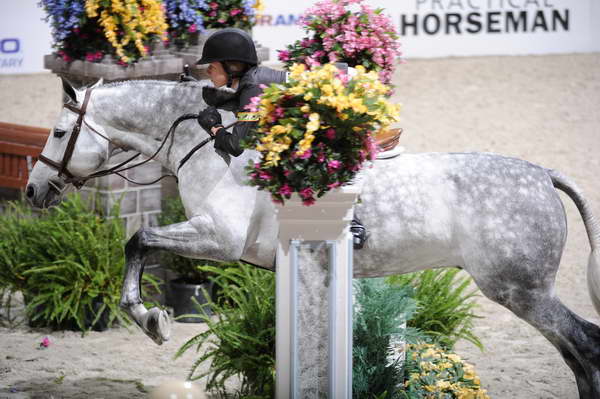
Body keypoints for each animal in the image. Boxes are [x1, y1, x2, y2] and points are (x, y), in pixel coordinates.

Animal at [27, 79, 600, 399]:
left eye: (58, 133)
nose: (33, 190)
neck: (207, 144)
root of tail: (544, 174)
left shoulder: (216, 240)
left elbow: (139, 241)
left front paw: (151, 320)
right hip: (523, 292)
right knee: (577, 352)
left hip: (518, 290)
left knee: (584, 345)